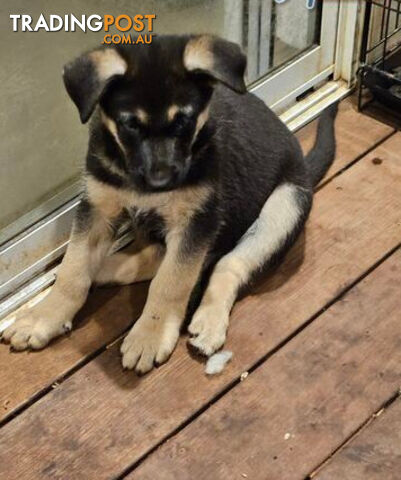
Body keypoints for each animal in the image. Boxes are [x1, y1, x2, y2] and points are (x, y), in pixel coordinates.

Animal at [1, 34, 336, 376]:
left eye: (183, 121)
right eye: (130, 125)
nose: (160, 180)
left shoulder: (196, 223)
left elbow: (172, 281)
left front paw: (150, 335)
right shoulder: (97, 208)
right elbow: (74, 268)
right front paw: (45, 316)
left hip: (284, 206)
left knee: (228, 264)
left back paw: (209, 322)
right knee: (158, 256)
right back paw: (106, 268)